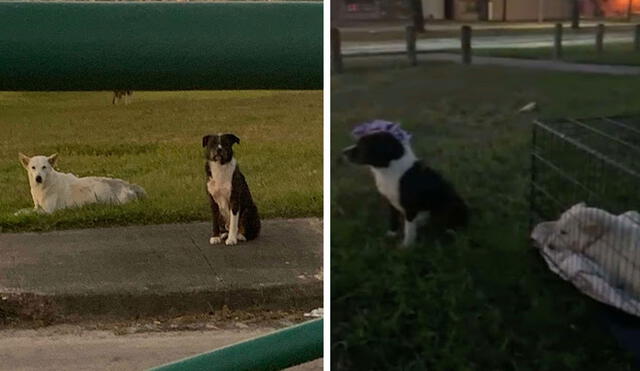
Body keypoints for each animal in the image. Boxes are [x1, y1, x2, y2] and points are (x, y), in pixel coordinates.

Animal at [19, 153, 148, 214]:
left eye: (44, 167)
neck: (43, 186)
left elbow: (26, 212)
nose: (38, 178)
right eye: (33, 167)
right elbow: (26, 210)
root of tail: (129, 185)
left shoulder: (48, 211)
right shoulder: (37, 206)